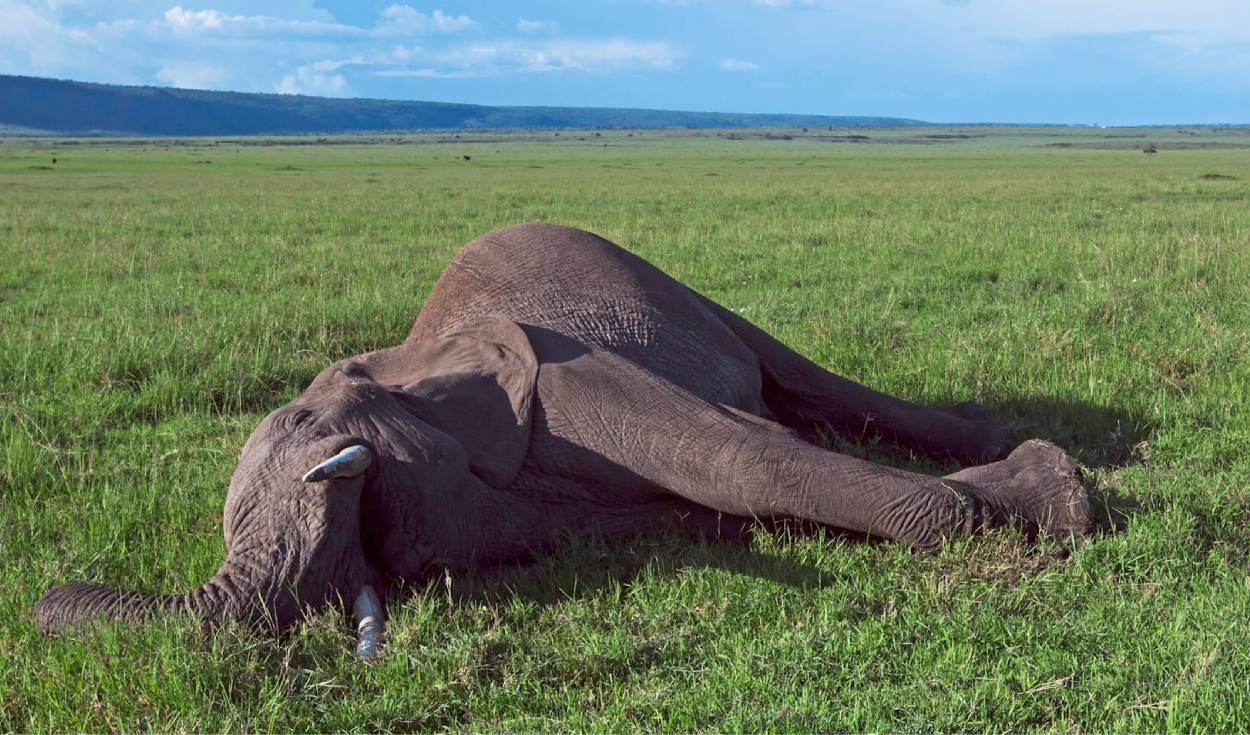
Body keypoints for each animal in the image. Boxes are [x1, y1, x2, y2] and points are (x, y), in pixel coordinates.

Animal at [34, 223, 1091, 655]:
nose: (43, 594)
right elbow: (708, 497)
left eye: (323, 443)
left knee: (788, 372)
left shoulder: (566, 376)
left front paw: (1059, 500)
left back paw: (999, 437)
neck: (412, 357)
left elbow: (737, 457)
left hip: (667, 283)